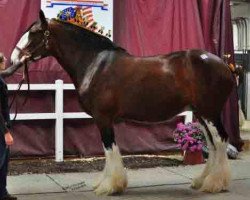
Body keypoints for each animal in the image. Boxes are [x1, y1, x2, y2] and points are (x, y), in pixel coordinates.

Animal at [3, 10, 234, 195]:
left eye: (34, 33)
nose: (13, 59)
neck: (95, 64)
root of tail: (225, 66)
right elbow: (108, 151)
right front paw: (106, 184)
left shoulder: (104, 118)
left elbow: (109, 149)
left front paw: (110, 186)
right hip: (202, 114)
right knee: (212, 143)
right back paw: (202, 181)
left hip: (209, 112)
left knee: (220, 139)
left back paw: (215, 184)